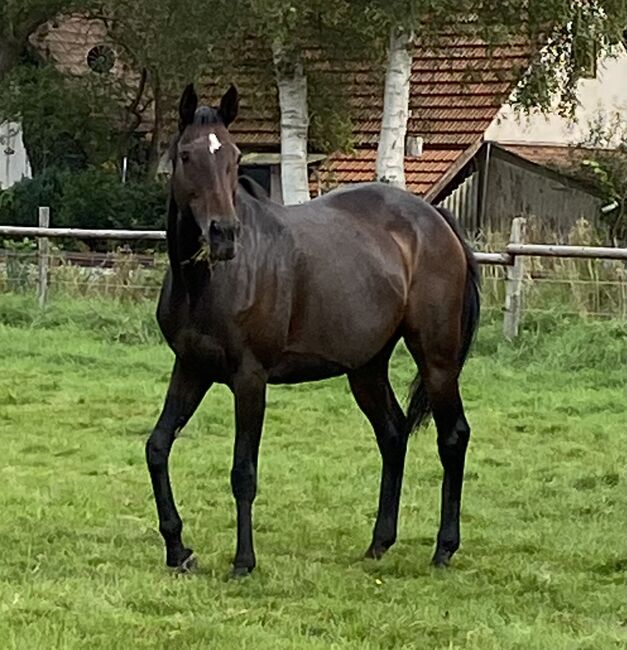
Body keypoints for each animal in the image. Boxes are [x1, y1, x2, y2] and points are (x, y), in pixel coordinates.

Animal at [145, 83, 480, 577]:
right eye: (187, 155)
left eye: (235, 156)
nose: (224, 234)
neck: (206, 282)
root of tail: (438, 222)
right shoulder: (191, 368)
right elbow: (158, 447)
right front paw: (177, 548)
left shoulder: (249, 379)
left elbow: (243, 472)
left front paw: (243, 562)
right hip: (366, 367)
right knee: (393, 434)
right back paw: (379, 543)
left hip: (436, 359)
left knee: (452, 436)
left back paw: (443, 548)